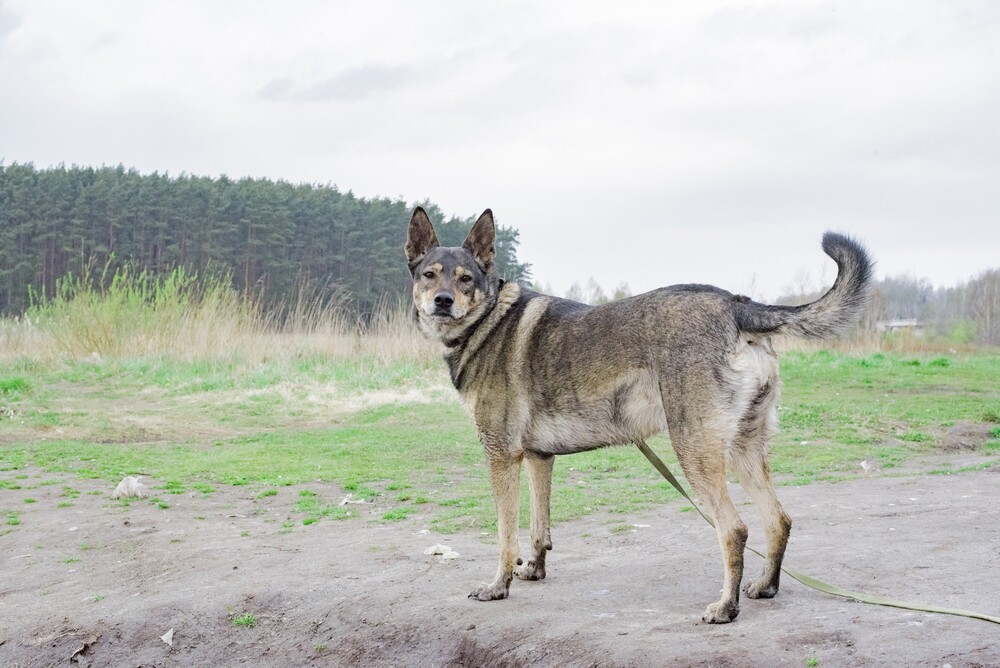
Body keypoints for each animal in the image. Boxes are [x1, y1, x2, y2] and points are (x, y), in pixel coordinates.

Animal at [402, 206, 872, 624]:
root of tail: (735, 305)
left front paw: (497, 586)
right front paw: (533, 570)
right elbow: (539, 529)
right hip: (743, 451)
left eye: (465, 279)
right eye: (429, 275)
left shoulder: (501, 458)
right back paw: (766, 586)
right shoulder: (538, 458)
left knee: (734, 529)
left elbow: (504, 536)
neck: (487, 322)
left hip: (695, 452)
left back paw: (726, 606)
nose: (442, 301)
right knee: (778, 519)